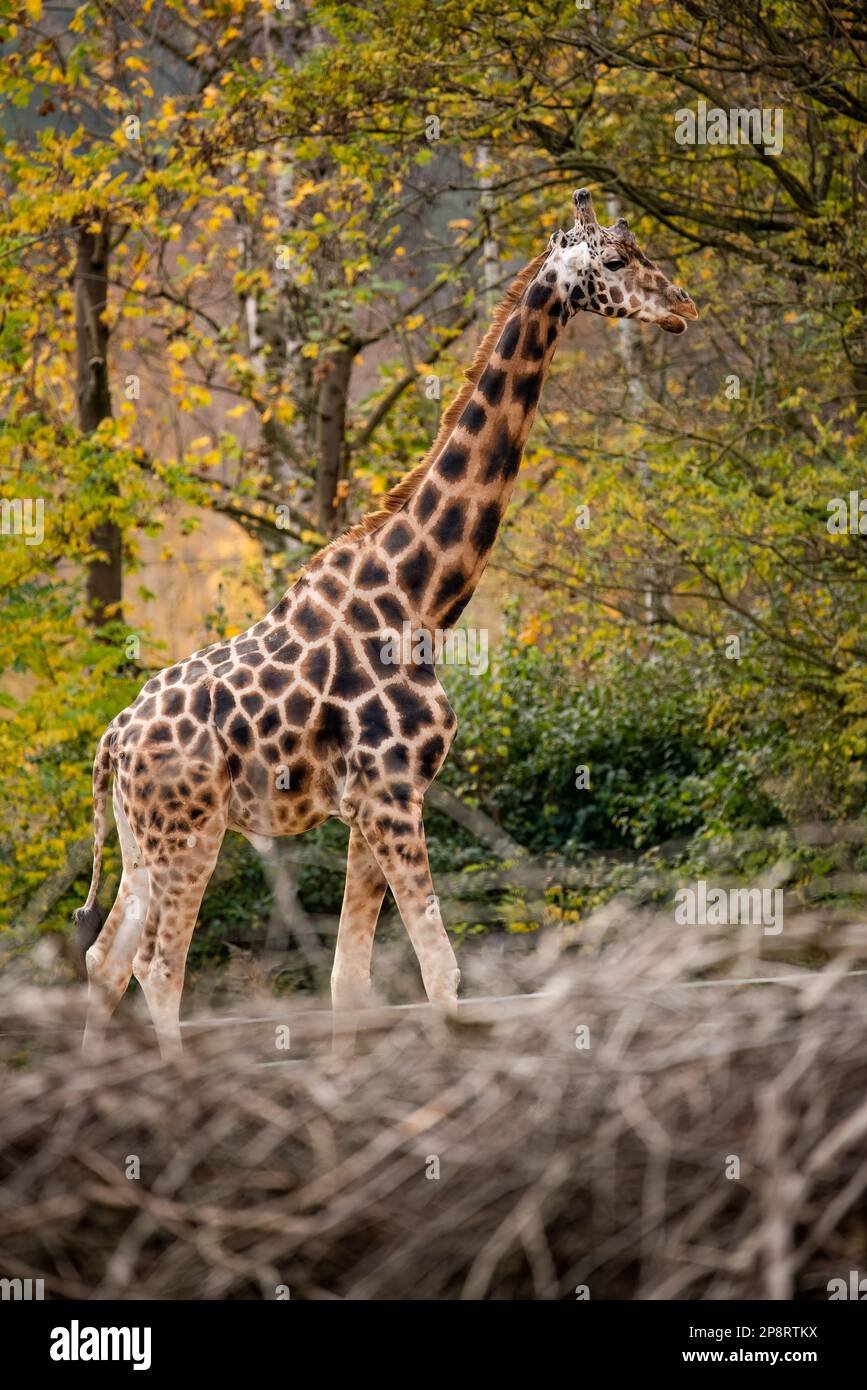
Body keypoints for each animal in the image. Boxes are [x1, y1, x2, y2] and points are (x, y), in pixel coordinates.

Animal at [75, 189, 697, 1056]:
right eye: (612, 260)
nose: (681, 305)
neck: (422, 597)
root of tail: (112, 739)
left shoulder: (375, 804)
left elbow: (350, 981)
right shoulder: (394, 793)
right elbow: (442, 974)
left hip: (143, 838)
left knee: (106, 960)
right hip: (189, 831)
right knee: (158, 969)